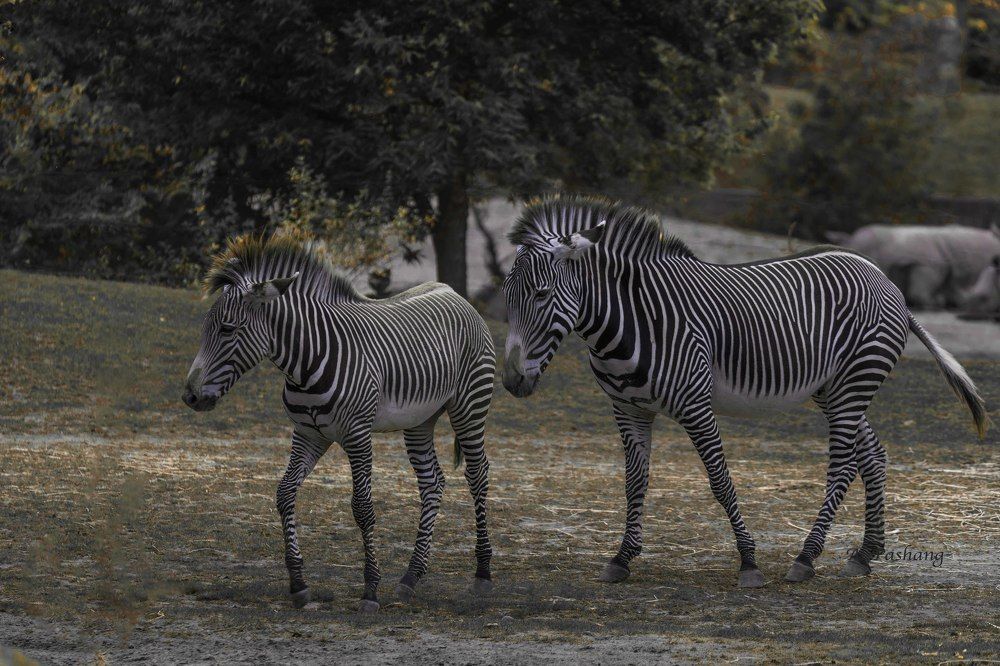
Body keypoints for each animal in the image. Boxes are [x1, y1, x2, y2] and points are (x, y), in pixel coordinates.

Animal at [182, 235, 496, 612]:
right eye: (204, 329)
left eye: (228, 330)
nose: (190, 396)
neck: (304, 364)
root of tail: (454, 293)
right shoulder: (308, 434)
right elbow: (284, 493)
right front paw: (299, 583)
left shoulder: (358, 434)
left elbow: (362, 508)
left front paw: (370, 590)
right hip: (420, 419)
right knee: (432, 482)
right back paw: (411, 576)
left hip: (470, 405)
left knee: (477, 475)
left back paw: (482, 572)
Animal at [500, 195, 988, 587]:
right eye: (507, 296)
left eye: (541, 294)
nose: (510, 380)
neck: (629, 322)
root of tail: (882, 276)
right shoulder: (628, 408)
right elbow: (634, 482)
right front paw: (621, 558)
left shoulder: (695, 404)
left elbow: (720, 480)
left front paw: (748, 562)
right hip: (833, 388)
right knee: (872, 454)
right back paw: (865, 553)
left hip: (855, 380)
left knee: (843, 463)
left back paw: (806, 557)